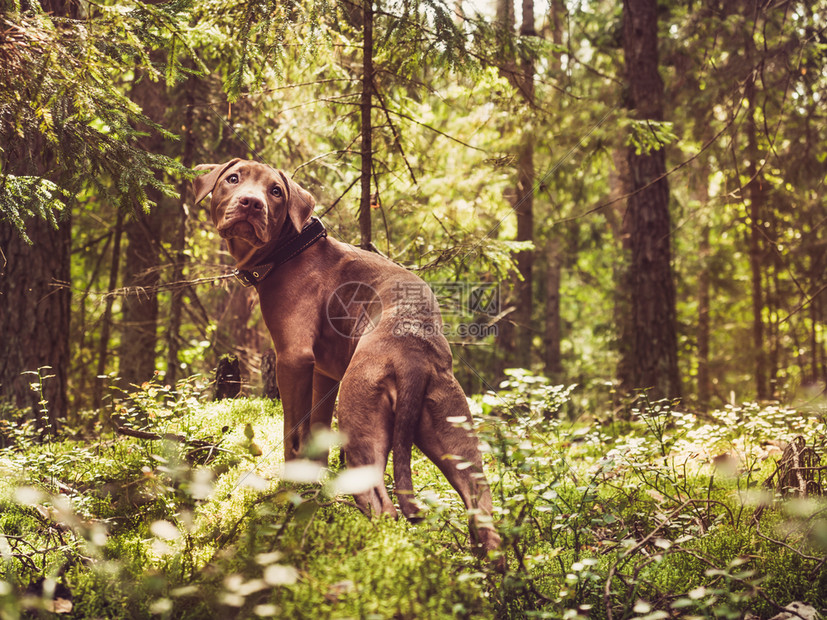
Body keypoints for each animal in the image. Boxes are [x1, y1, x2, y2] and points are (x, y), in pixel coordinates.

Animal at [194, 160, 502, 556]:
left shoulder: (293, 360)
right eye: (233, 179)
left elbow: (292, 436)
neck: (291, 249)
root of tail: (414, 355)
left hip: (359, 422)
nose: (251, 203)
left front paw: (288, 493)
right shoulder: (324, 374)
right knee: (482, 509)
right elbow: (315, 437)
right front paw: (312, 490)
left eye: (275, 191)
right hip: (452, 435)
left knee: (383, 505)